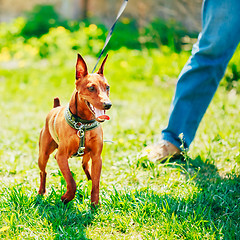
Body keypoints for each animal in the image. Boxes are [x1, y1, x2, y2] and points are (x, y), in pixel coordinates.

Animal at [37, 53, 111, 205]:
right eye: (91, 88)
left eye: (107, 87)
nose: (108, 104)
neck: (83, 124)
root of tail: (55, 106)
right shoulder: (60, 156)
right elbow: (71, 181)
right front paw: (66, 197)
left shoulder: (97, 157)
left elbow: (96, 183)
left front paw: (95, 204)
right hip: (43, 154)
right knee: (43, 172)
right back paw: (42, 191)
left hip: (88, 155)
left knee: (85, 165)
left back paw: (89, 178)